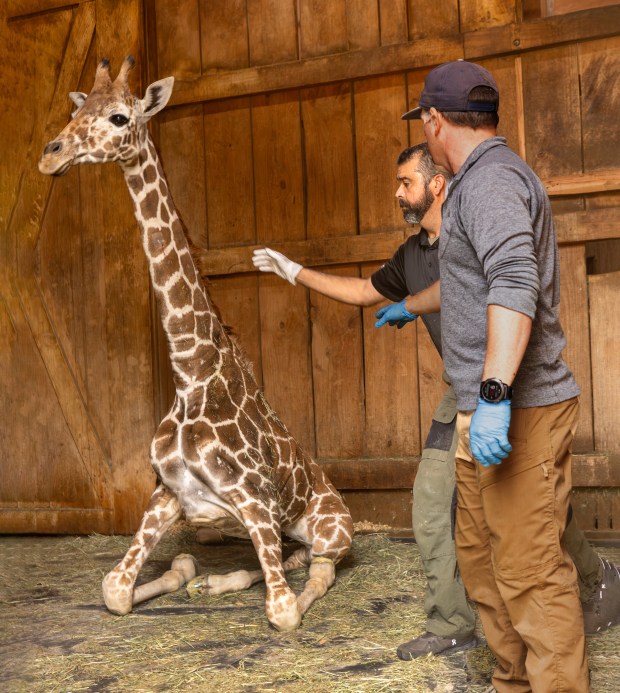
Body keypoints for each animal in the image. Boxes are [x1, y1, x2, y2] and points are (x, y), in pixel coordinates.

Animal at [39, 57, 353, 632]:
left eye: (119, 117)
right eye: (78, 109)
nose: (51, 155)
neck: (192, 369)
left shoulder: (257, 505)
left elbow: (282, 611)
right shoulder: (168, 496)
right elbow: (114, 589)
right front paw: (180, 576)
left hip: (331, 528)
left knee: (313, 566)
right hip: (221, 528)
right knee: (271, 557)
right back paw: (205, 579)